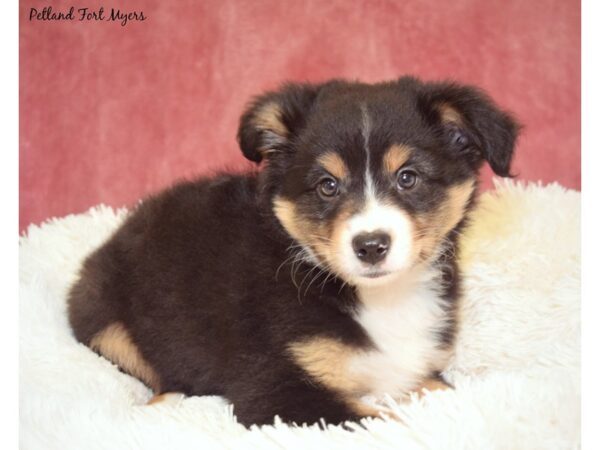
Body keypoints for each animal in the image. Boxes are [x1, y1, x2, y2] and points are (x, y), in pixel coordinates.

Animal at [67, 76, 520, 426]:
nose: (371, 245)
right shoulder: (275, 386)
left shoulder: (412, 367)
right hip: (103, 317)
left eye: (408, 177)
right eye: (327, 185)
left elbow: (442, 390)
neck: (379, 299)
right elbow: (380, 421)